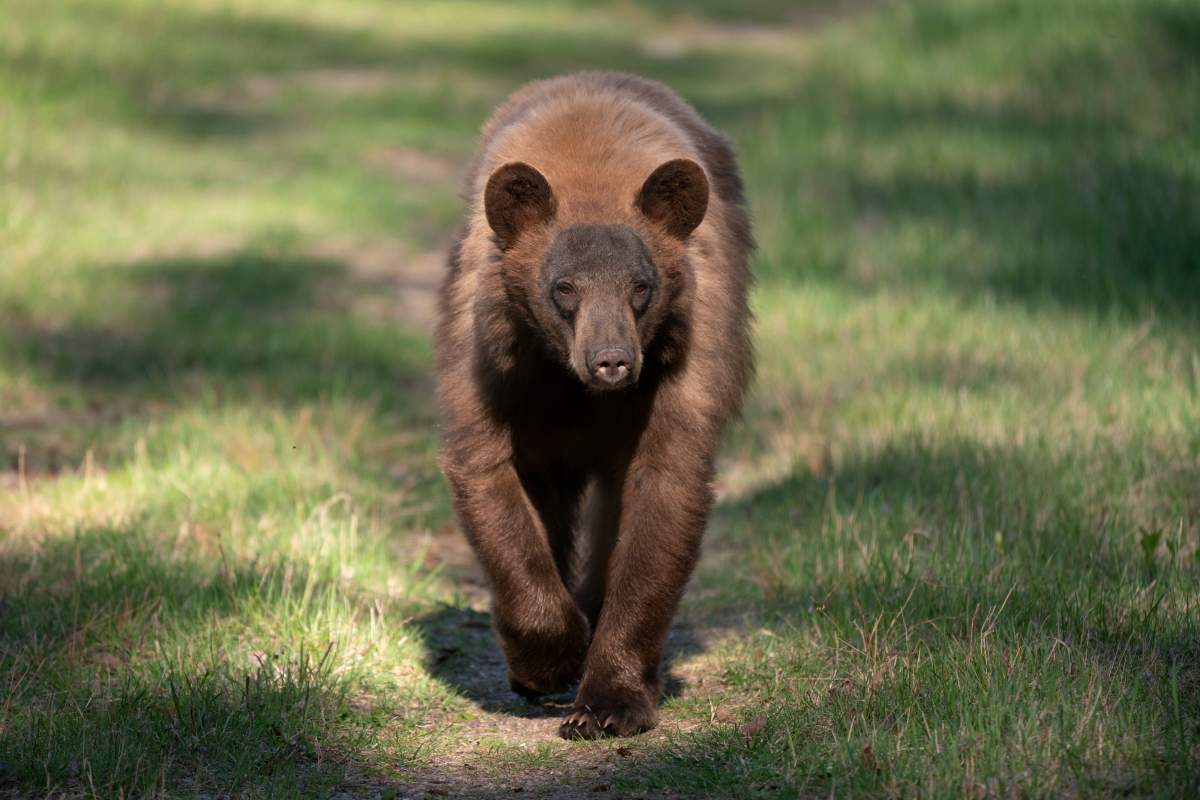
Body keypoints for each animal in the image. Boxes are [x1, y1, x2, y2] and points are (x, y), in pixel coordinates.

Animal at [435, 71, 753, 739]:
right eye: (563, 287)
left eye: (641, 286)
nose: (612, 360)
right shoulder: (494, 361)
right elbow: (488, 473)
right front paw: (549, 660)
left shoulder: (683, 362)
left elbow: (665, 492)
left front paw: (610, 703)